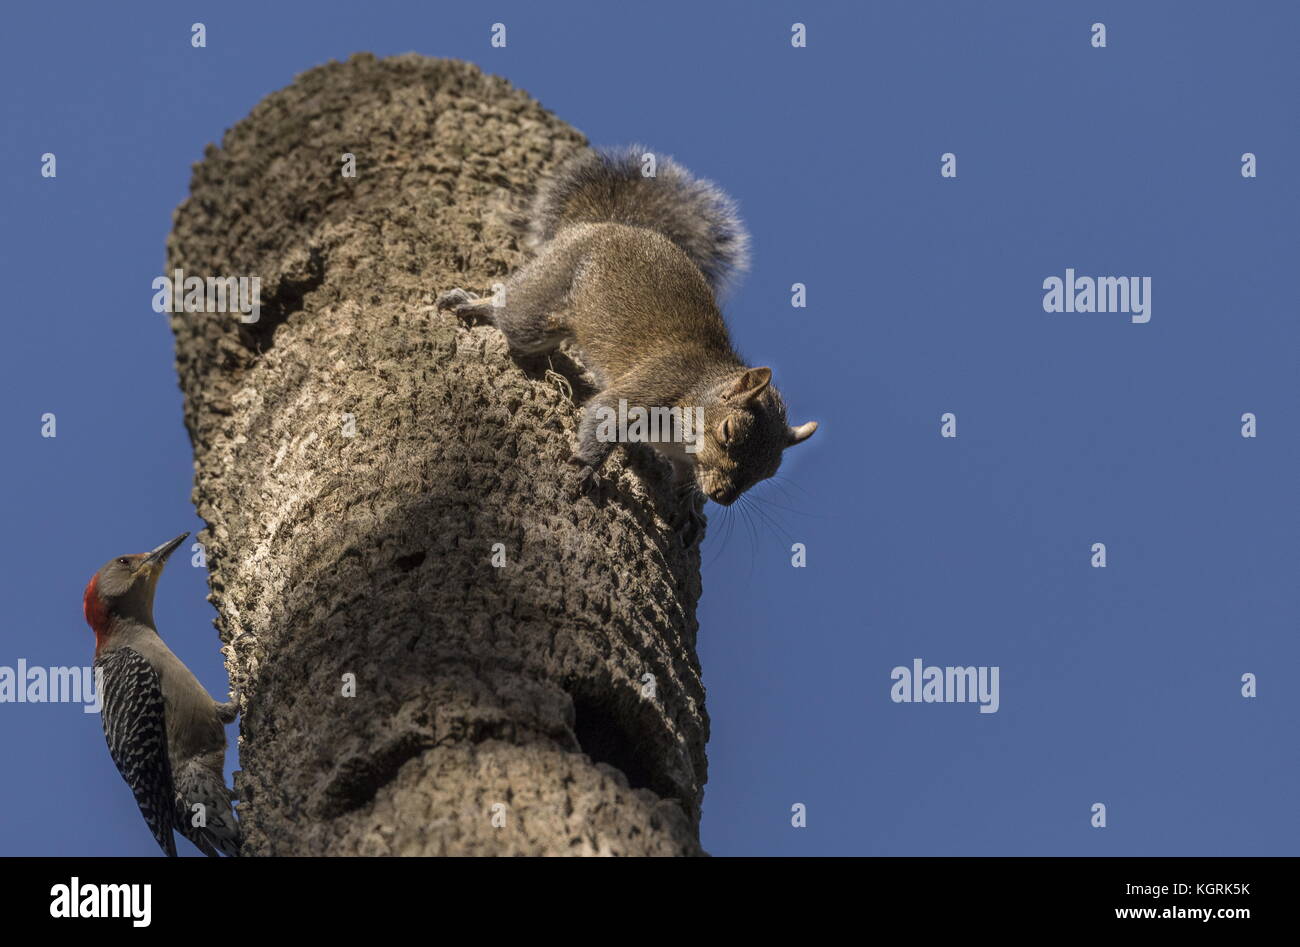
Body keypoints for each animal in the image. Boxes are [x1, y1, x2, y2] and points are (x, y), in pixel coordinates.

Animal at [441, 144, 816, 535]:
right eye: (728, 430)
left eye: (767, 473)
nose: (722, 496)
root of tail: (606, 223)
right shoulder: (658, 383)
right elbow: (606, 414)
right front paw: (586, 467)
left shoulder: (682, 457)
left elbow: (684, 478)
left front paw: (688, 509)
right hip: (547, 298)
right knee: (514, 314)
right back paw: (475, 305)